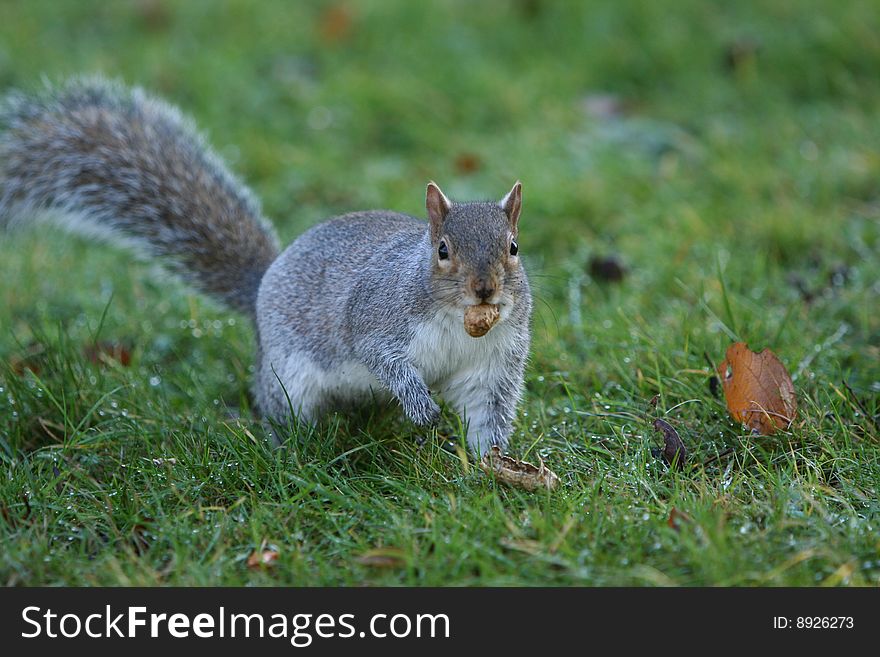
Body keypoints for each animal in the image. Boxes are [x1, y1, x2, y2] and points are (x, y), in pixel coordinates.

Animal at [0, 77, 532, 454]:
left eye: (513, 247)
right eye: (442, 250)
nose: (485, 290)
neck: (460, 323)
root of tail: (260, 287)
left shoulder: (493, 362)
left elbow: (489, 411)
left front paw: (492, 467)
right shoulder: (378, 318)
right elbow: (384, 358)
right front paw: (421, 408)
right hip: (287, 376)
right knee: (283, 412)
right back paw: (291, 447)